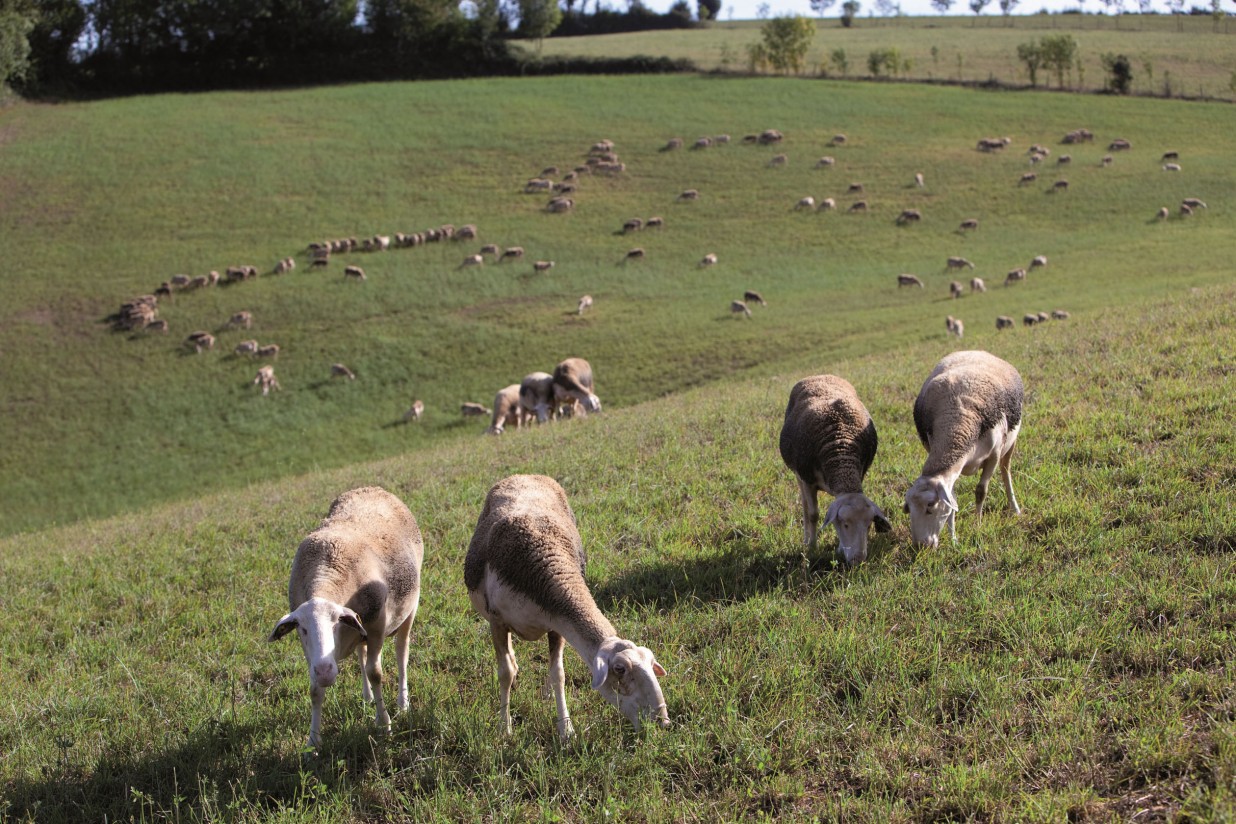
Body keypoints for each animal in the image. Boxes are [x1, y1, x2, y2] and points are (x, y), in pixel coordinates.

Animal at [269, 486, 425, 751]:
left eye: (335, 623)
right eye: (302, 629)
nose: (325, 672)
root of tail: (373, 488)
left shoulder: (375, 627)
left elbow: (375, 673)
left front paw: (384, 725)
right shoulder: (315, 649)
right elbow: (315, 690)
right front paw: (313, 743)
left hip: (409, 610)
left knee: (401, 652)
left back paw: (402, 702)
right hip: (359, 628)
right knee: (361, 654)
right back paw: (367, 697)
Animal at [464, 474, 672, 736]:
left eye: (652, 664)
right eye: (619, 669)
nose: (662, 722)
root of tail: (524, 475)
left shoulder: (556, 625)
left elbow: (558, 674)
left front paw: (566, 729)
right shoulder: (497, 620)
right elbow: (505, 673)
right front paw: (505, 728)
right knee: (509, 660)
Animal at [776, 373, 894, 568]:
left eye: (869, 525)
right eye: (845, 524)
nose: (857, 560)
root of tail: (819, 375)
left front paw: (839, 548)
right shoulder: (807, 480)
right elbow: (813, 514)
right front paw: (812, 547)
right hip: (798, 475)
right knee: (805, 506)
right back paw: (806, 539)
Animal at [909, 348, 1023, 548]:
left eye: (931, 506)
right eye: (907, 508)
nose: (920, 546)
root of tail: (975, 350)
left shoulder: (993, 455)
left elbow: (981, 491)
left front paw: (977, 525)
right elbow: (952, 499)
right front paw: (954, 539)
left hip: (1010, 443)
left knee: (1006, 472)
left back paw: (1014, 508)